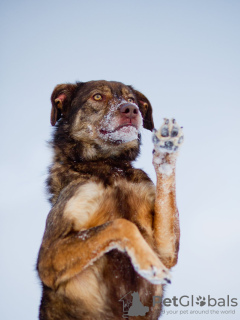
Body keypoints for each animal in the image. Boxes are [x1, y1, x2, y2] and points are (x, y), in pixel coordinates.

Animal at [37, 80, 184, 320]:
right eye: (97, 97)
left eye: (131, 99)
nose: (131, 110)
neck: (109, 166)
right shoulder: (48, 258)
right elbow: (120, 224)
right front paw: (148, 262)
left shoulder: (167, 251)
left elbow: (165, 197)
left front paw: (166, 147)